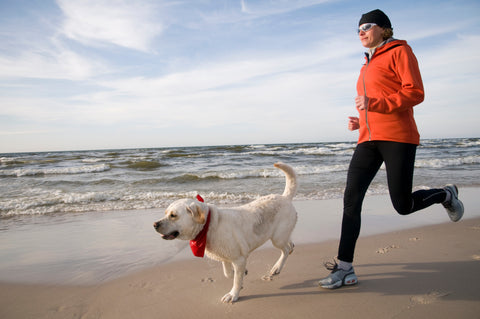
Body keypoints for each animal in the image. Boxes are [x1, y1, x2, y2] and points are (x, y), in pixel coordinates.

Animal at [153, 164, 296, 304]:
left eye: (173, 215)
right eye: (165, 213)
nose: (154, 224)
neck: (208, 226)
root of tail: (285, 197)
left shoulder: (239, 259)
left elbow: (236, 279)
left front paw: (233, 294)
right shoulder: (225, 256)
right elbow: (228, 273)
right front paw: (241, 275)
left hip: (277, 237)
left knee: (285, 249)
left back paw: (277, 267)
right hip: (282, 235)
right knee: (289, 244)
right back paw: (290, 249)